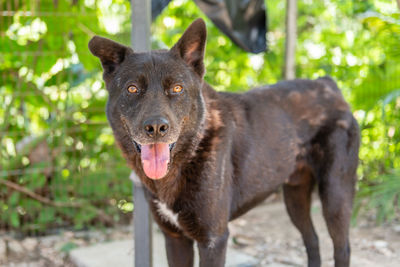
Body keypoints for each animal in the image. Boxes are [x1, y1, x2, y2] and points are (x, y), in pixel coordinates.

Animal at [87, 17, 360, 266]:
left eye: (177, 88)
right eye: (132, 89)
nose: (156, 128)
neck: (187, 157)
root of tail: (327, 84)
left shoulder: (213, 240)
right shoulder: (175, 238)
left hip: (335, 195)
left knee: (342, 247)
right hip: (294, 196)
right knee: (312, 239)